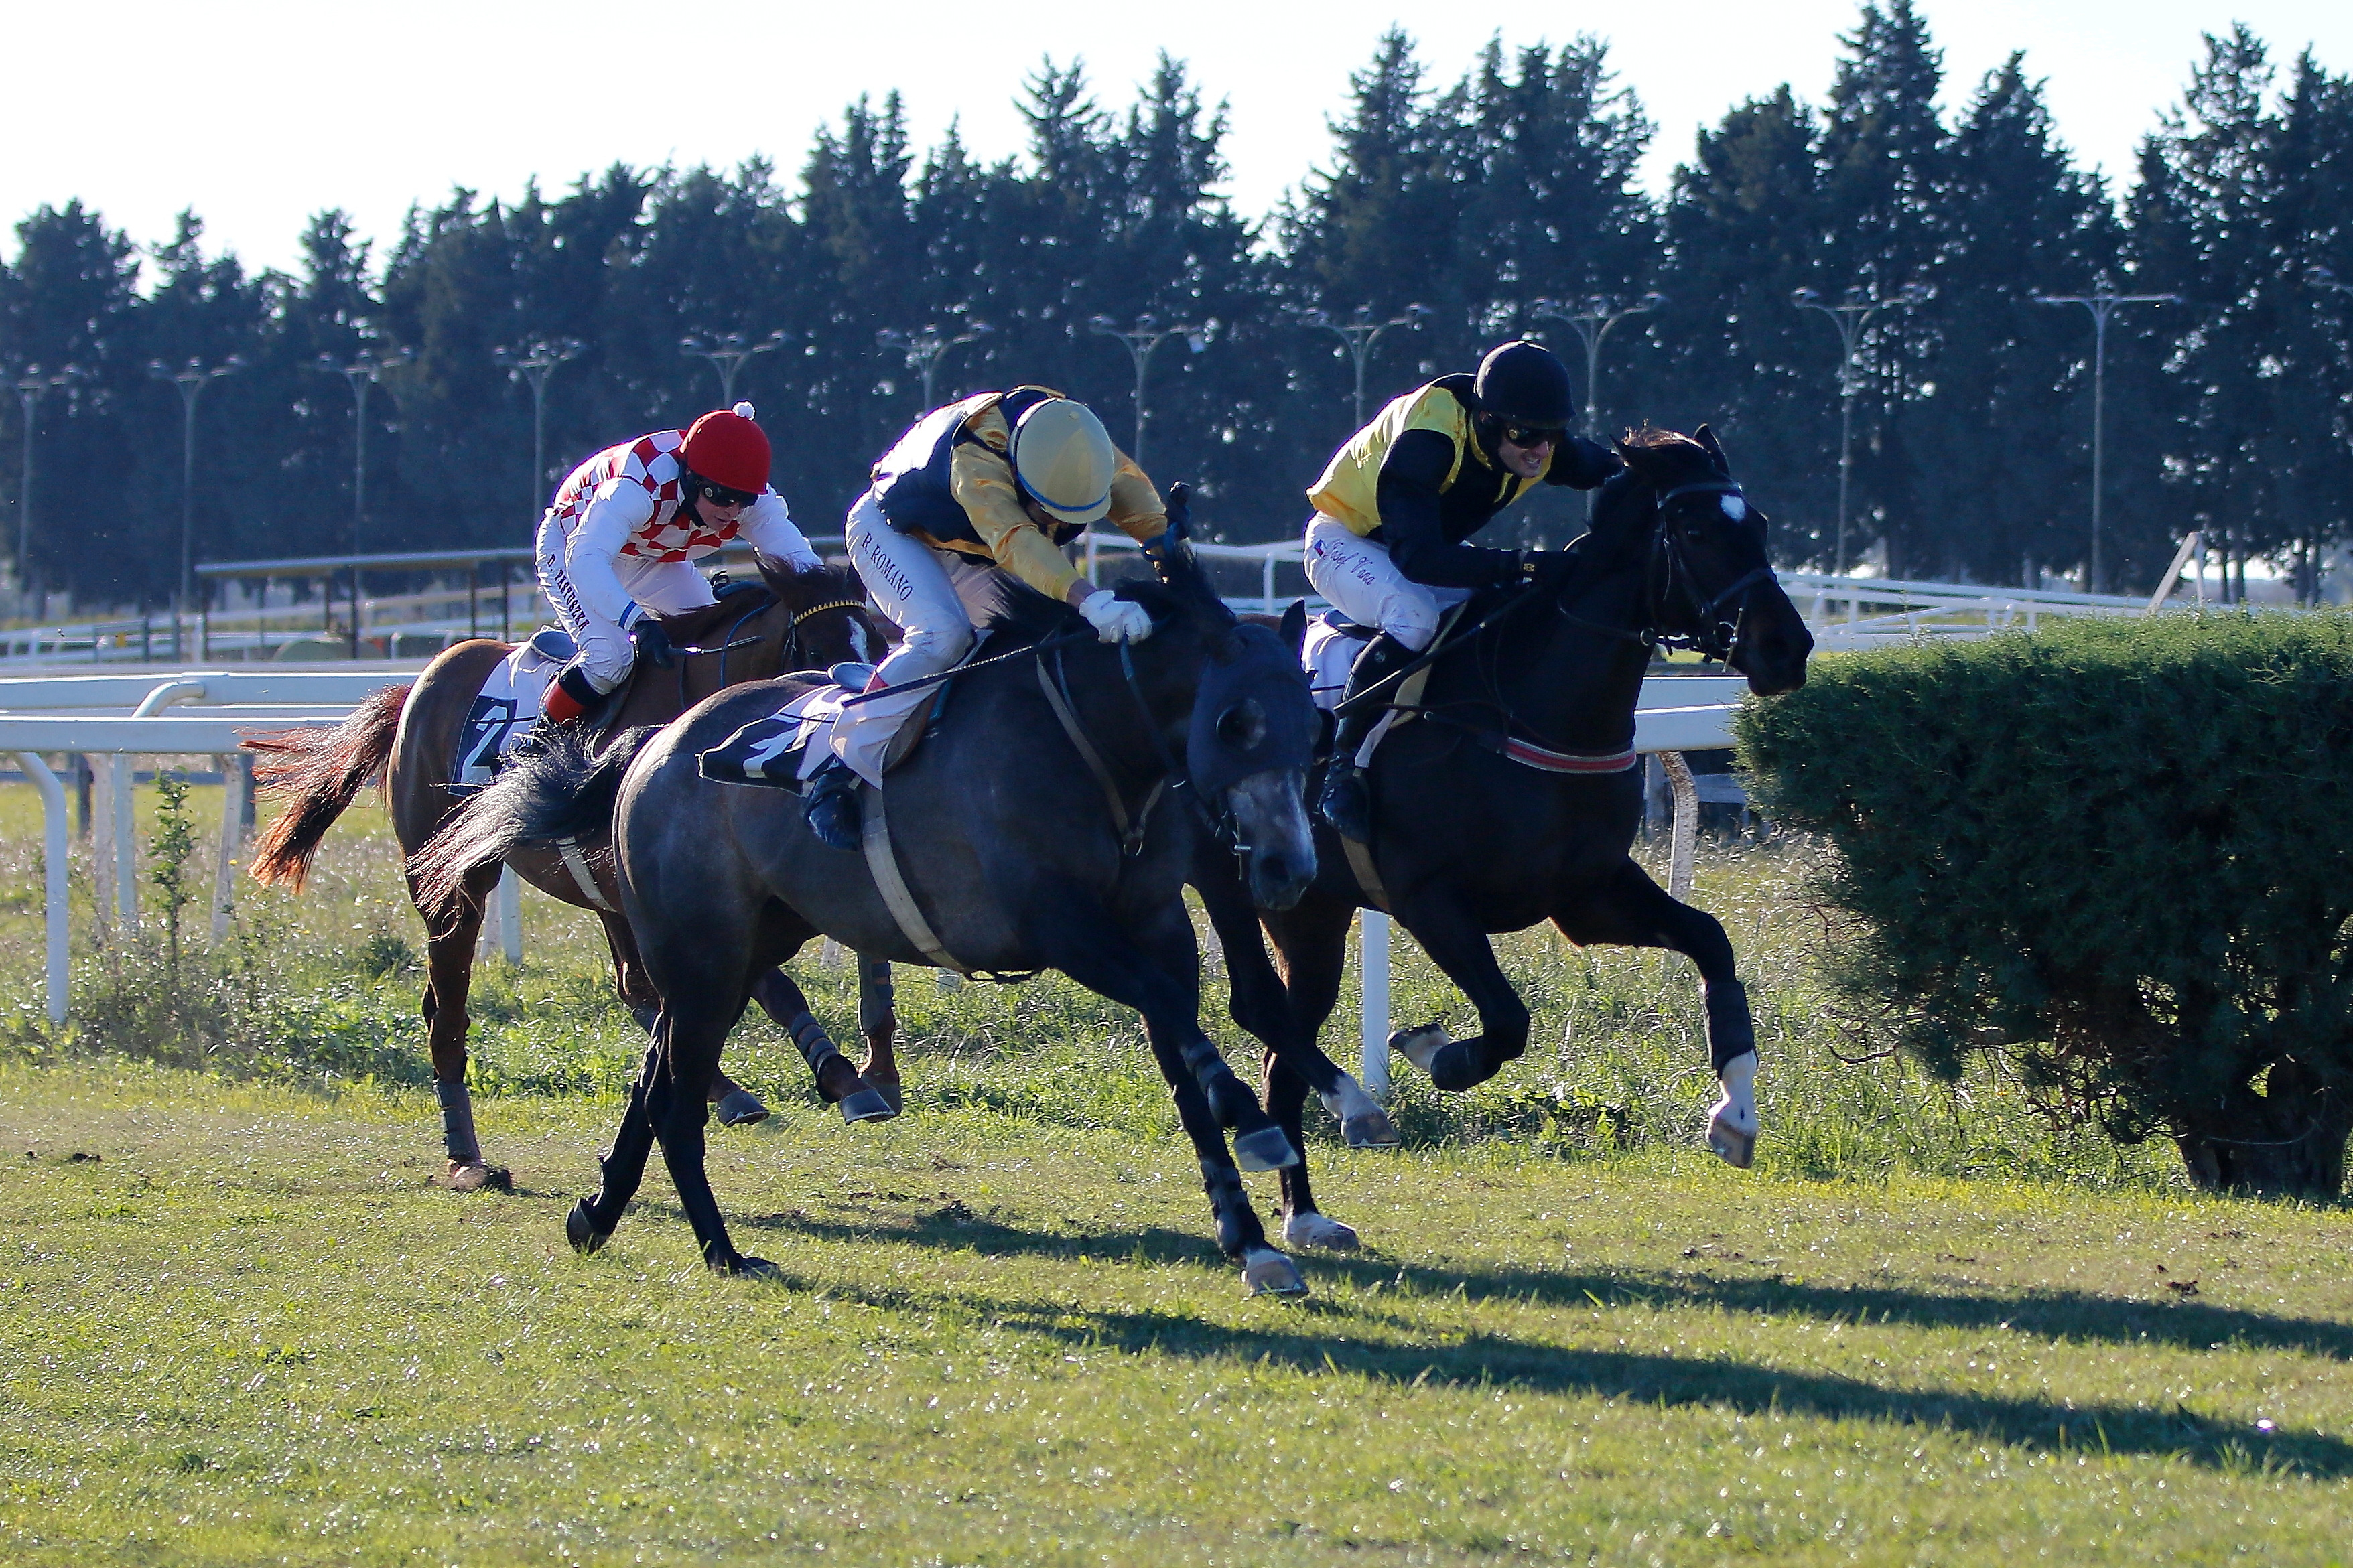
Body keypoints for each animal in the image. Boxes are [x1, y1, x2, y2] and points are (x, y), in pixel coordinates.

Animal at [243, 557, 894, 1184]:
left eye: (877, 641)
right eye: (817, 647)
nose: (858, 733)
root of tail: (414, 690)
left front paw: (850, 1080)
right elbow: (763, 982)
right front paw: (846, 1080)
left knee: (633, 987)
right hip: (452, 879)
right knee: (446, 1006)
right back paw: (466, 1156)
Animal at [411, 545, 1355, 1297]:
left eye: (1317, 724)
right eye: (1234, 721)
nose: (1289, 867)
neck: (1086, 746)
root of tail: (650, 742)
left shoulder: (1157, 926)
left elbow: (1183, 1048)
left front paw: (1252, 1237)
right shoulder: (1063, 929)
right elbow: (1184, 1029)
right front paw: (1268, 1123)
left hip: (748, 944)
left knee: (655, 1079)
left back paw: (600, 1211)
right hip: (702, 957)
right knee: (674, 1102)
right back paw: (723, 1250)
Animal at [1205, 425, 1807, 1241]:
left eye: (1762, 526)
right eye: (1695, 532)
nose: (1787, 649)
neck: (1533, 711)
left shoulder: (1586, 894)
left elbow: (1711, 942)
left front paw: (1735, 1114)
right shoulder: (1428, 899)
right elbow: (1507, 1021)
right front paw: (1432, 1051)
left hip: (1311, 913)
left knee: (1279, 1054)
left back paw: (1307, 1216)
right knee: (1261, 1017)